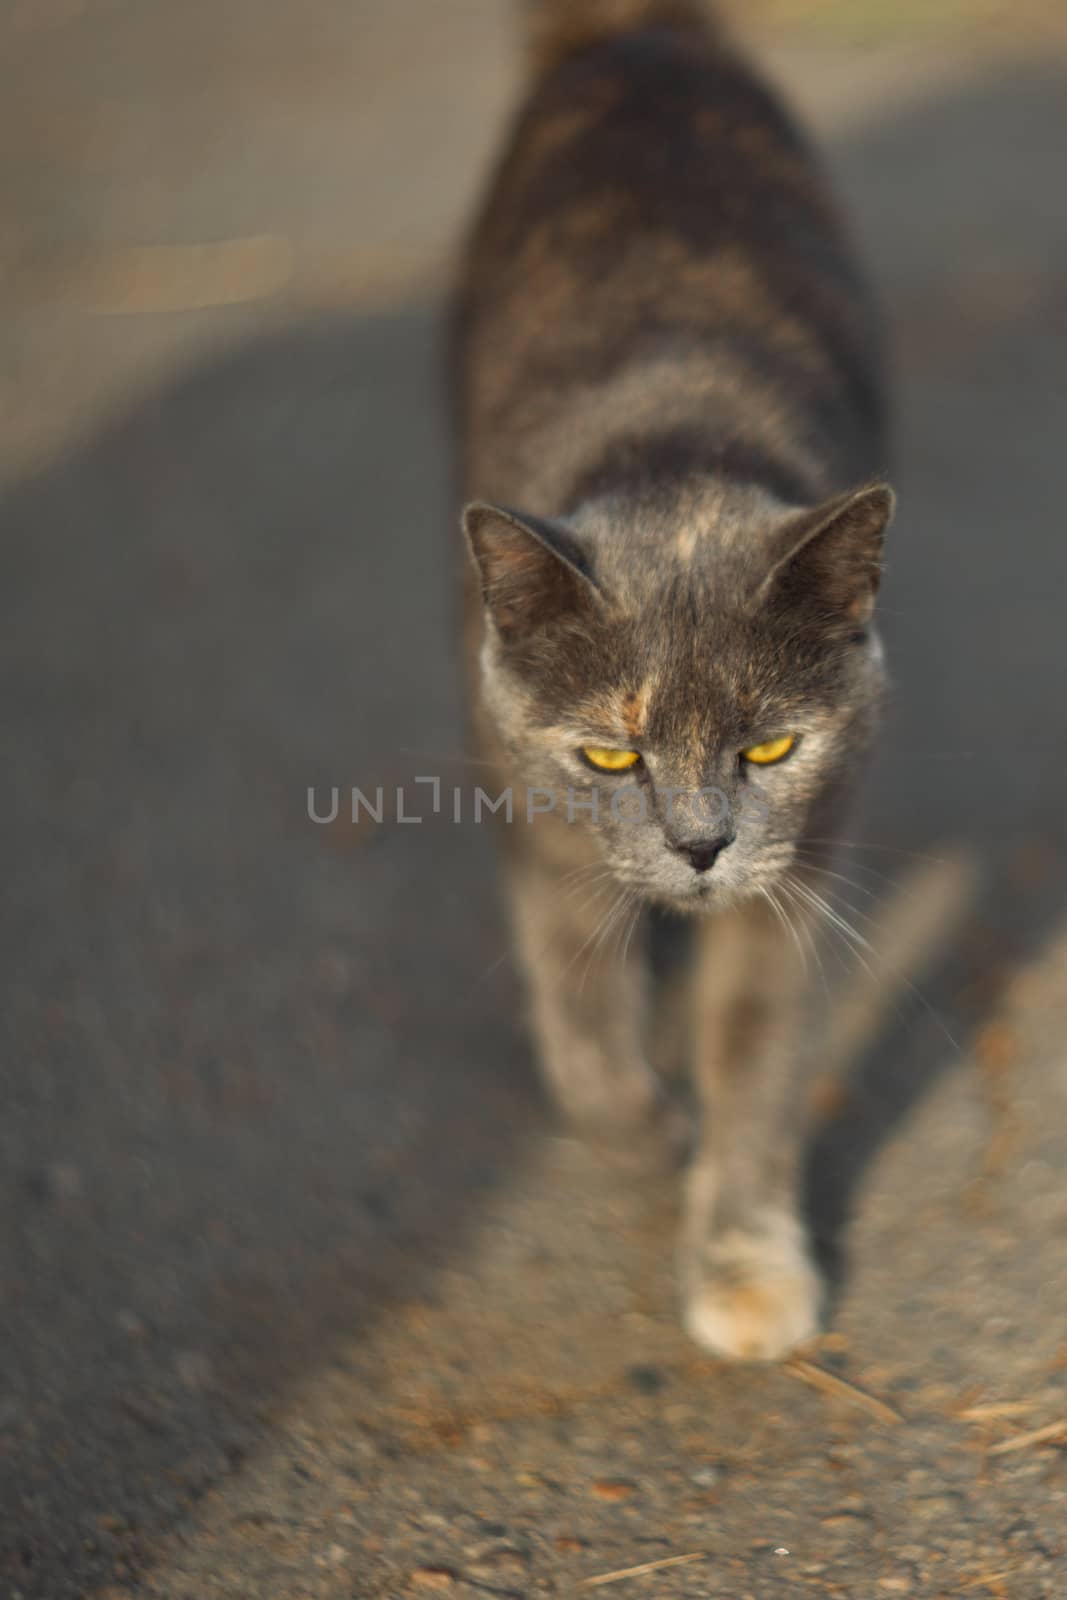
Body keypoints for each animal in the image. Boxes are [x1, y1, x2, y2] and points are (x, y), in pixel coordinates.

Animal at [451, 0, 895, 1363]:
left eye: (768, 748)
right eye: (608, 752)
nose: (700, 847)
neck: (675, 445)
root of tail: (635, 33)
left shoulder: (801, 860)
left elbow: (755, 1056)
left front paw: (745, 1270)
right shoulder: (531, 813)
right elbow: (575, 1021)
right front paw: (647, 1133)